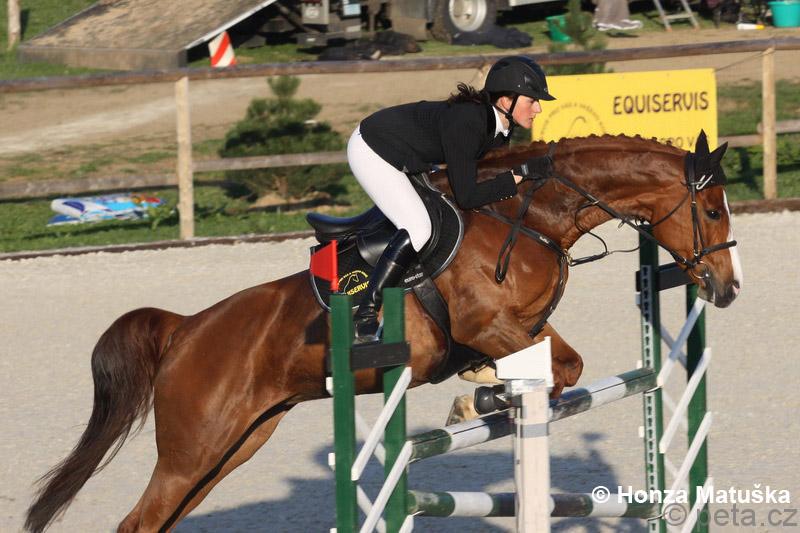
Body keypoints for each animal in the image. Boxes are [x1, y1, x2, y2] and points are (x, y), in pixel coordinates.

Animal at [25, 134, 742, 533]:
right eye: (711, 210)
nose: (727, 289)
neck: (529, 216)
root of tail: (184, 329)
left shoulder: (523, 327)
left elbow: (561, 364)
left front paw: (484, 391)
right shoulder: (487, 321)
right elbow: (554, 369)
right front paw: (479, 398)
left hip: (232, 446)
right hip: (191, 450)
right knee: (139, 521)